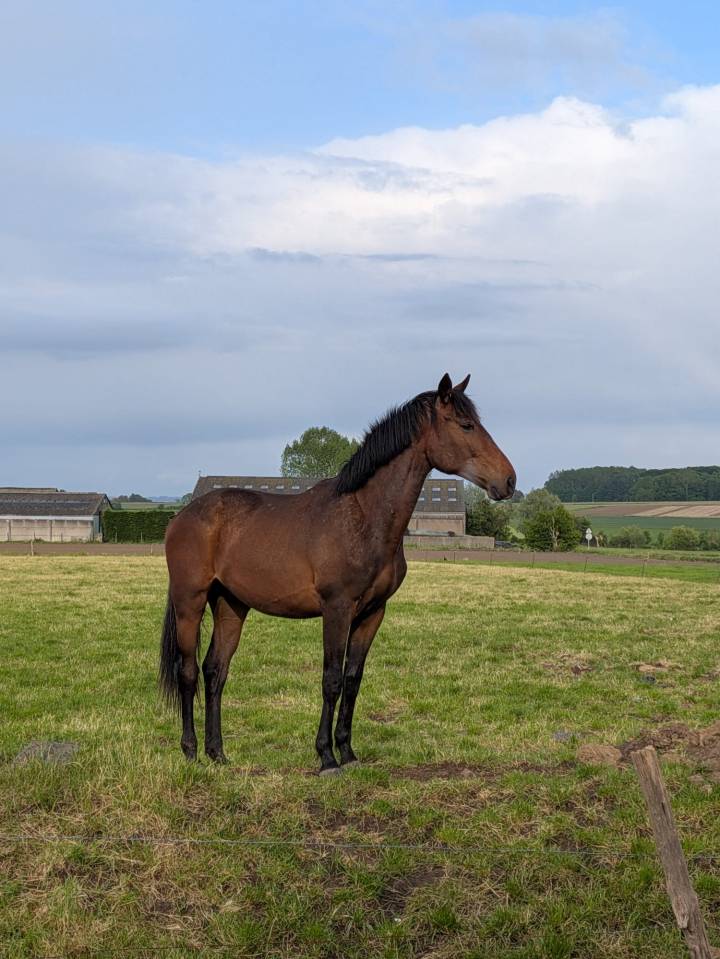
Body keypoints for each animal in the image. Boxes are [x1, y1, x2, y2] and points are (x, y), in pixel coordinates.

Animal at [160, 374, 516, 774]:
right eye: (466, 425)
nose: (509, 480)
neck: (364, 517)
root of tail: (183, 515)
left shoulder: (372, 613)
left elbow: (352, 679)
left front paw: (348, 752)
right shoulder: (337, 609)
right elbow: (331, 680)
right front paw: (327, 757)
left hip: (230, 605)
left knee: (215, 671)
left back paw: (217, 753)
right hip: (189, 602)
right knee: (188, 671)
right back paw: (190, 751)